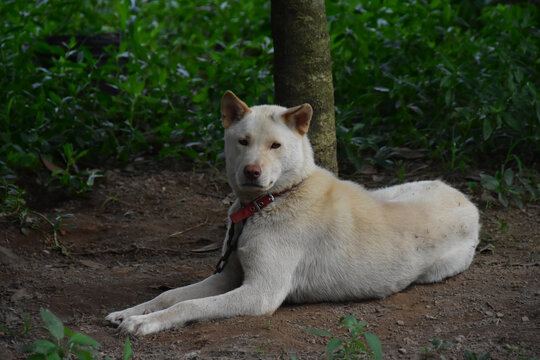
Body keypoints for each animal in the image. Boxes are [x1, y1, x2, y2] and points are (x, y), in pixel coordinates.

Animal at [107, 90, 478, 334]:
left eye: (276, 145)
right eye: (243, 141)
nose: (252, 172)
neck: (269, 202)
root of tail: (467, 201)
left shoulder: (260, 293)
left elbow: (188, 305)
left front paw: (143, 323)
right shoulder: (228, 276)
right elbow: (170, 295)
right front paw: (129, 313)